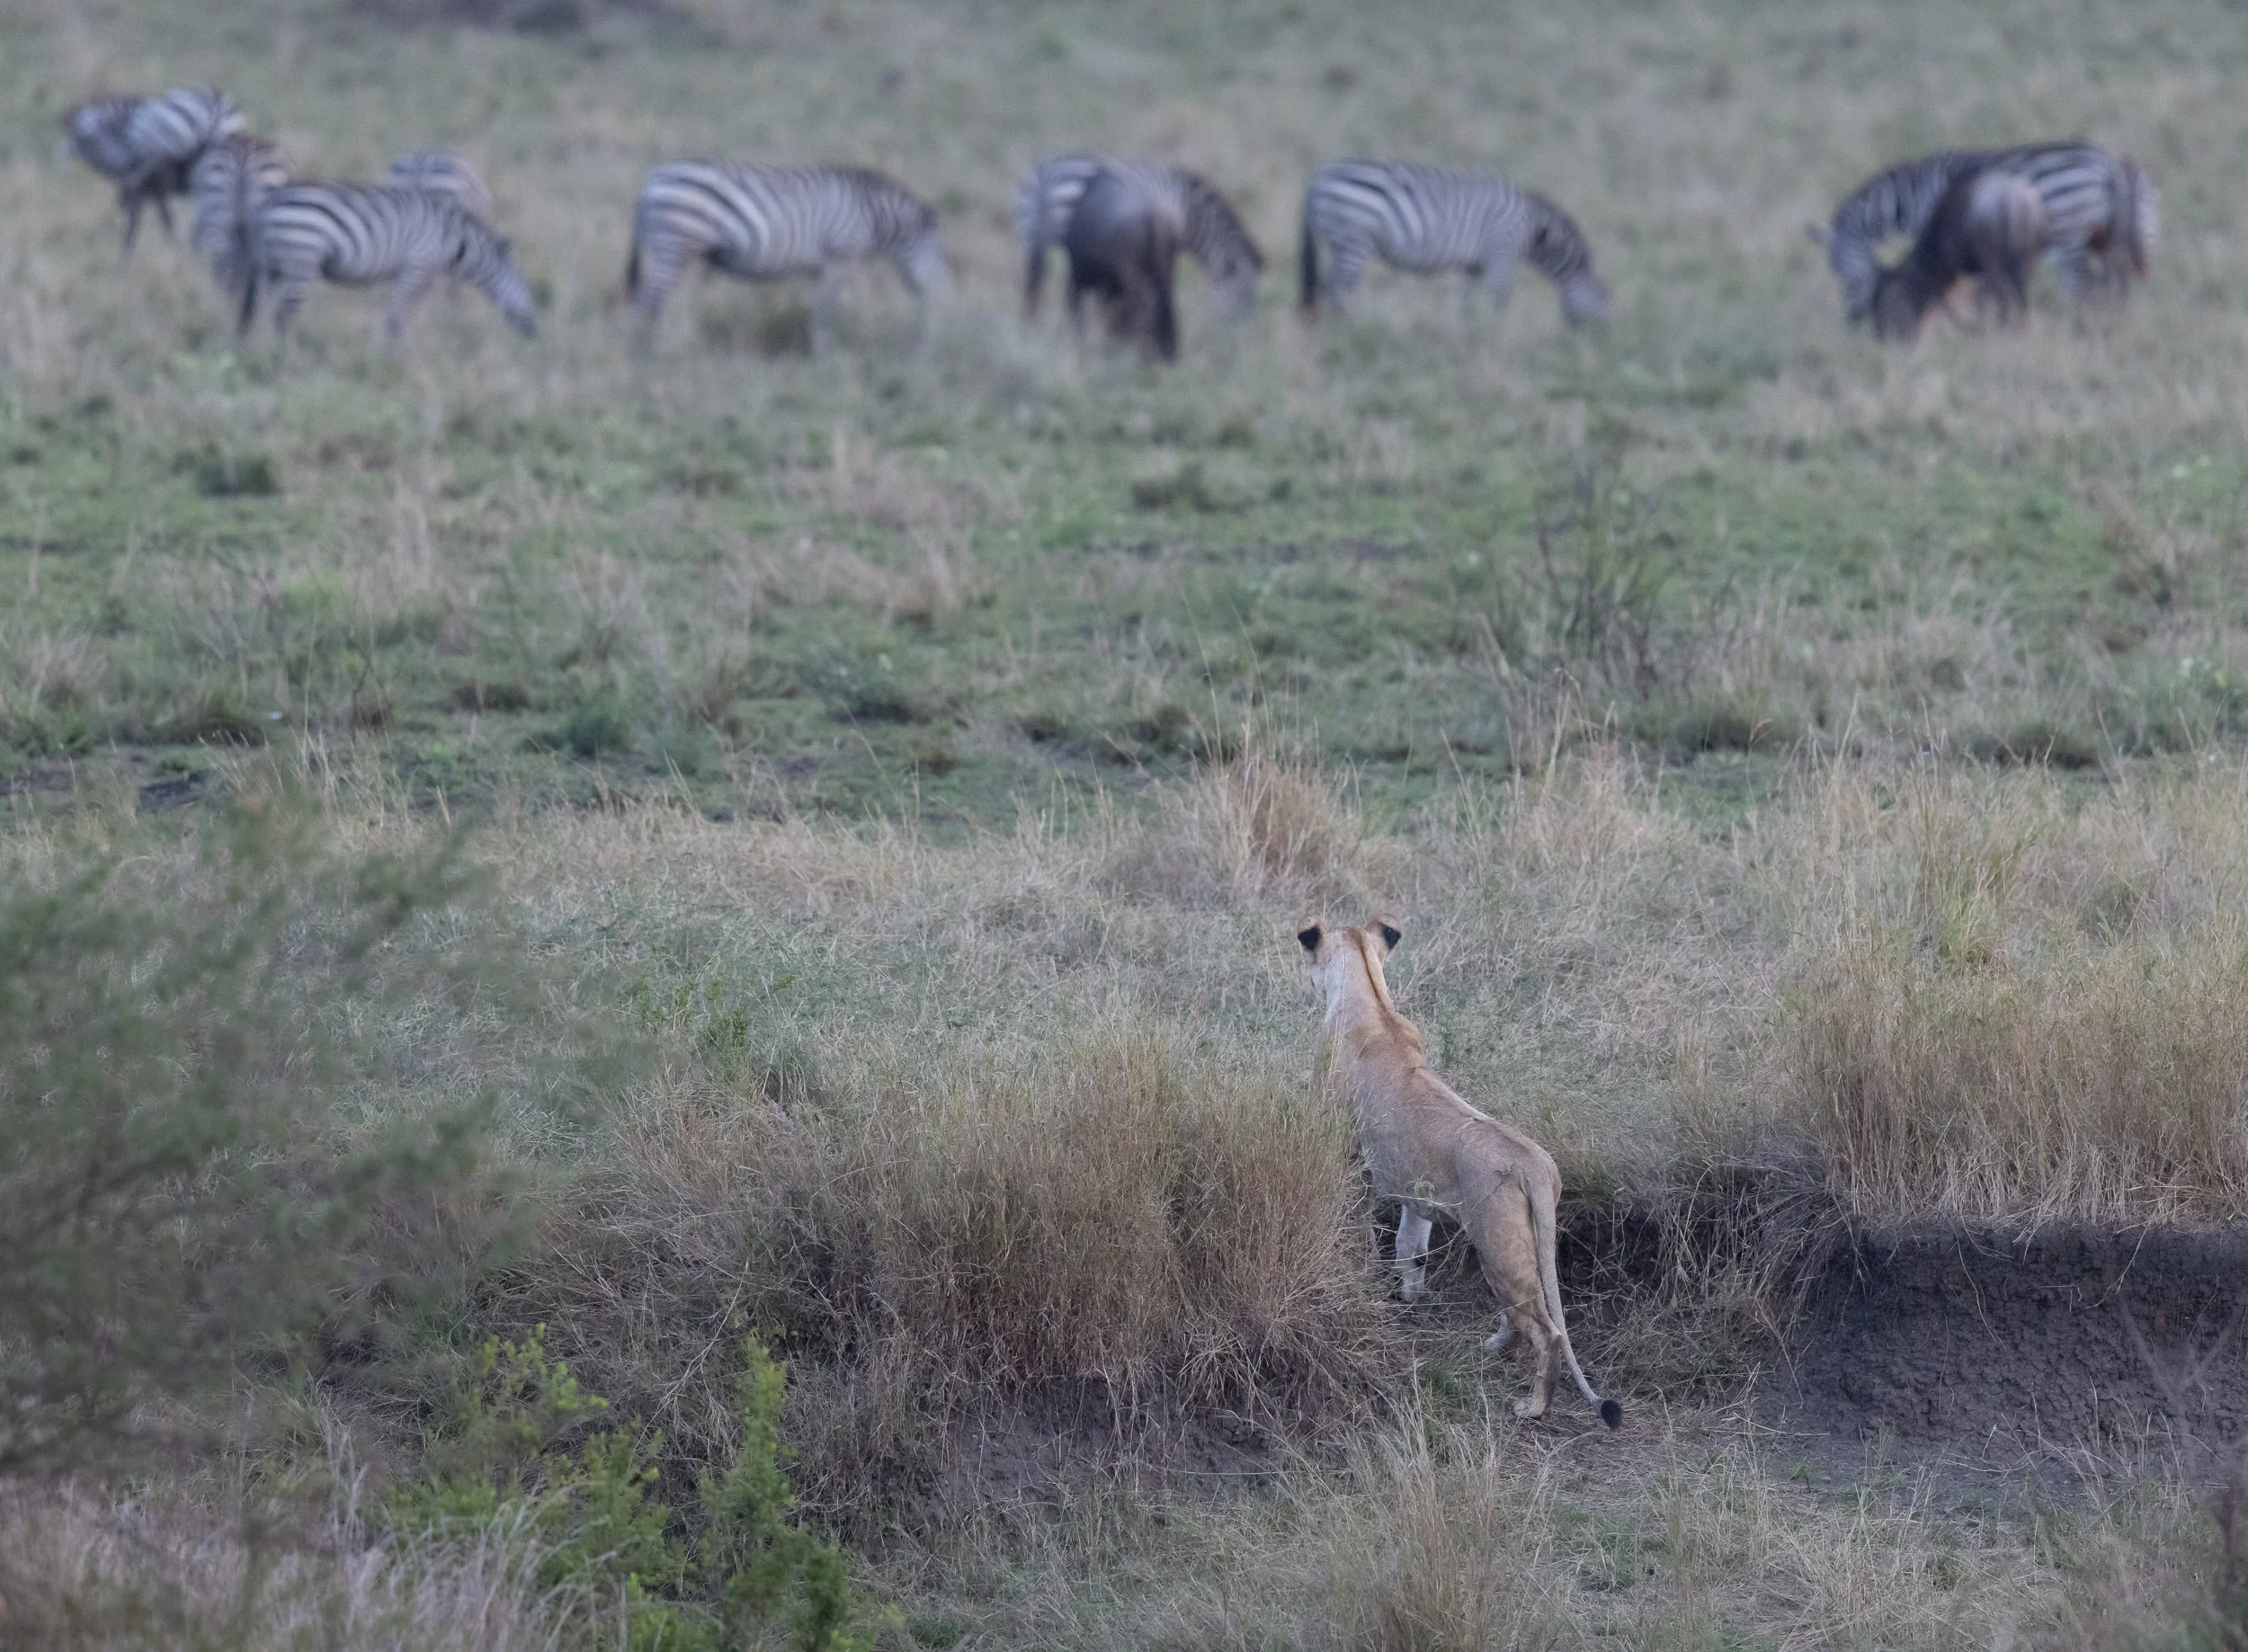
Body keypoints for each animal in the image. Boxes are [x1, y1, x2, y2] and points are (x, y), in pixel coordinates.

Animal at [1299, 917, 1623, 1430]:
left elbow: (1362, 1228)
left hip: (1498, 1246)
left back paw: (1533, 1406)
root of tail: (1533, 1164)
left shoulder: (1350, 1156)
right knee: (1523, 1314)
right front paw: (1410, 1296)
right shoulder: (1414, 1186)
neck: (1371, 1000)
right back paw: (1494, 1347)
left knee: (1546, 1330)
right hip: (1516, 1244)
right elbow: (1409, 1246)